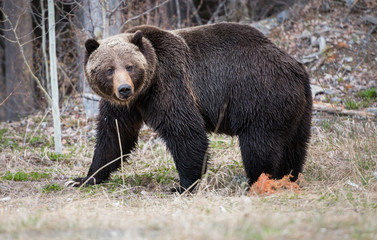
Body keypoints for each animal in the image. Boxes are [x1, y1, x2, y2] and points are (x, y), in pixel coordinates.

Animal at [71, 22, 312, 191]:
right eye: (109, 69)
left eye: (130, 66)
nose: (124, 89)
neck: (143, 92)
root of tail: (296, 67)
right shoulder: (123, 107)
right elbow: (114, 137)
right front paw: (84, 178)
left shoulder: (169, 84)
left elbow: (185, 132)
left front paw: (182, 186)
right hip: (297, 109)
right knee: (294, 146)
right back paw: (289, 177)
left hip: (259, 97)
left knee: (259, 146)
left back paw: (257, 182)